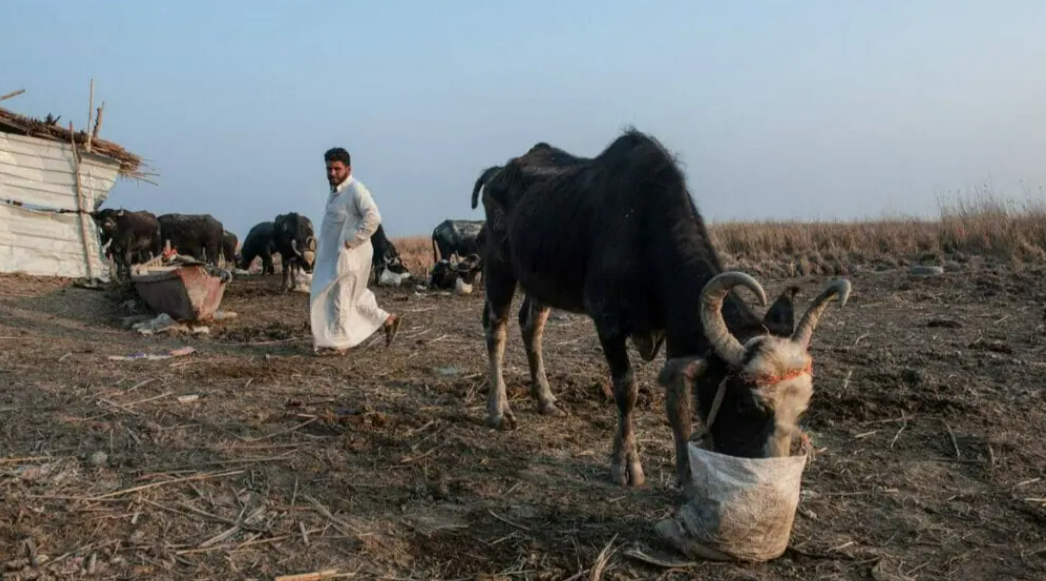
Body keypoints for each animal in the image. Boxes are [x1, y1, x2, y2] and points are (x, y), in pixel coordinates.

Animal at [474, 128, 849, 492]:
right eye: (745, 404)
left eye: (801, 408)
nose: (772, 480)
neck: (643, 231)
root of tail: (497, 174)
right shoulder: (607, 323)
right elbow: (627, 390)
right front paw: (626, 466)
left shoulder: (676, 333)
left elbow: (677, 403)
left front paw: (686, 475)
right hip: (498, 267)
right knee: (496, 329)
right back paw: (499, 410)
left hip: (540, 282)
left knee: (530, 326)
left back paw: (546, 399)